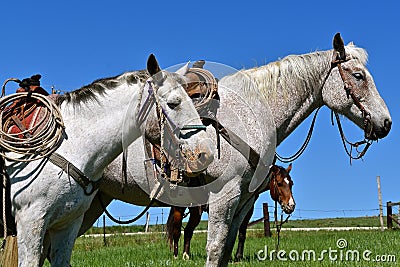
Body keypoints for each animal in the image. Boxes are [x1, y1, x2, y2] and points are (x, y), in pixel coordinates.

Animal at [166, 164, 294, 260]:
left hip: (195, 211)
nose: (291, 205)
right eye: (279, 183)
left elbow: (241, 233)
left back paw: (186, 256)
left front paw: (238, 256)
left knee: (188, 231)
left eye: (291, 183)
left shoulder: (248, 209)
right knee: (177, 231)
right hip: (180, 209)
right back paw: (176, 256)